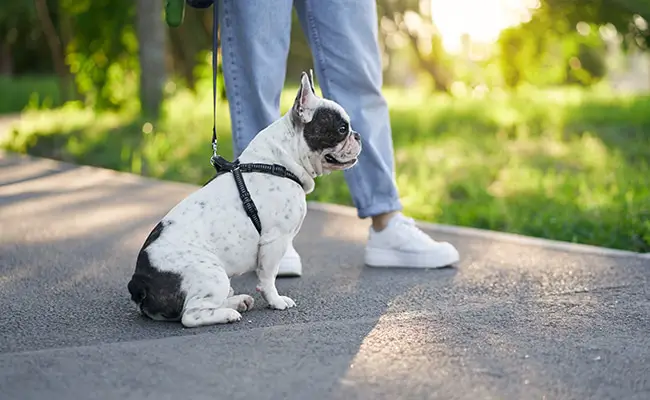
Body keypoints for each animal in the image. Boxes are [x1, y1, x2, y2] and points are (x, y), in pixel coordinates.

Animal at [126, 71, 360, 328]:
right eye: (342, 128)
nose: (357, 135)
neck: (280, 162)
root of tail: (139, 282)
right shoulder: (274, 240)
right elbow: (268, 277)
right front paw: (276, 301)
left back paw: (238, 301)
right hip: (211, 273)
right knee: (191, 315)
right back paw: (229, 313)